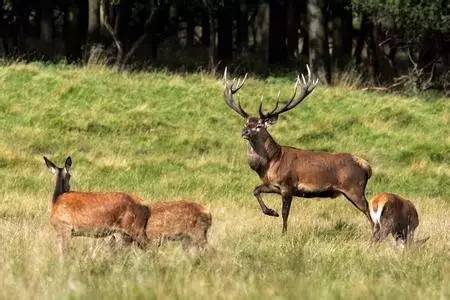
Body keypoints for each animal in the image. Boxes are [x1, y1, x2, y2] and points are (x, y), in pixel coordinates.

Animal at [222, 66, 372, 234]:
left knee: (369, 209)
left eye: (259, 125)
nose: (245, 132)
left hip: (354, 188)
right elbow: (256, 190)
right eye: (246, 123)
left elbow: (285, 213)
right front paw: (271, 212)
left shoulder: (287, 185)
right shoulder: (273, 185)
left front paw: (283, 233)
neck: (271, 162)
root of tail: (367, 166)